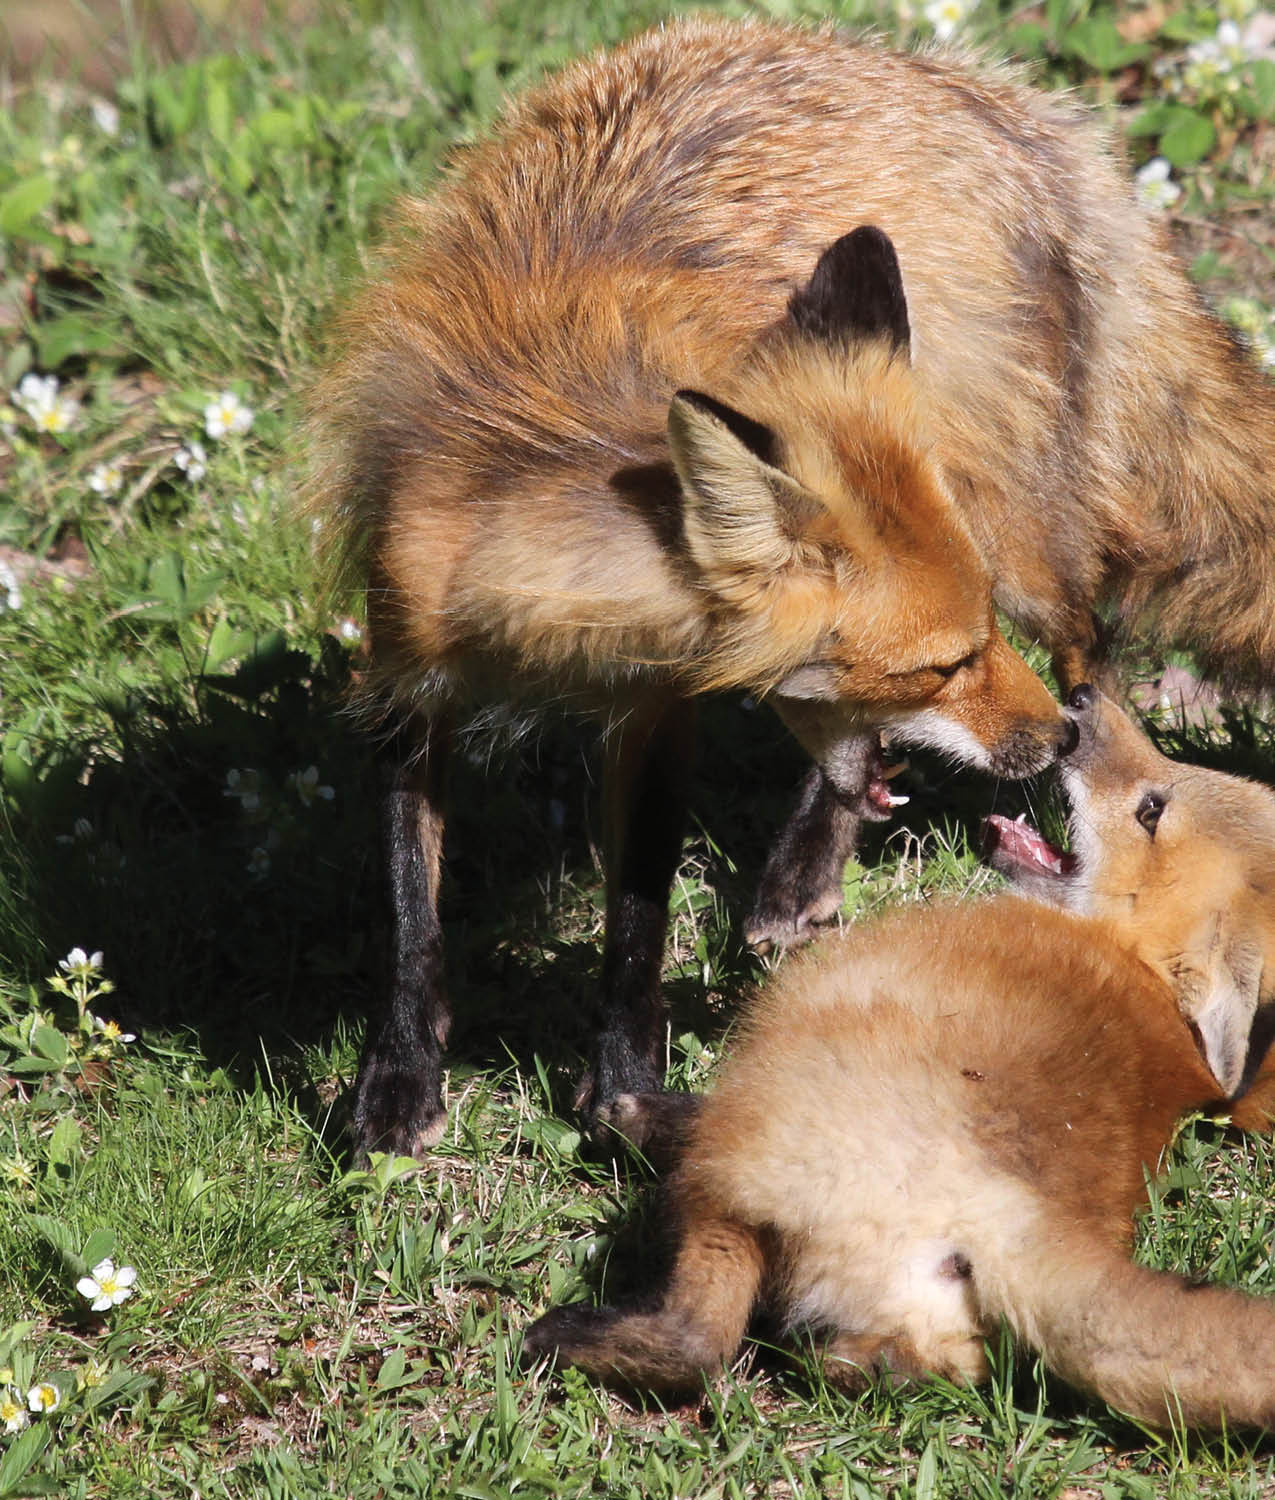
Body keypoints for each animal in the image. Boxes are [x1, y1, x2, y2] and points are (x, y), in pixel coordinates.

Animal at [306, 32, 1086, 1158]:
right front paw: (401, 1076)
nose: (1064, 739)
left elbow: (636, 924)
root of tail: (919, 63)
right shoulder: (408, 668)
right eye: (947, 664)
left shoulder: (652, 711)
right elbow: (413, 903)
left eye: (983, 639)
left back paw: (808, 869)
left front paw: (624, 1089)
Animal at [528, 690, 1275, 1428]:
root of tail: (1010, 1203)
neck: (1133, 963)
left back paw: (566, 1323)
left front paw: (629, 1107)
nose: (1082, 700)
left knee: (695, 1340)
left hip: (733, 1176)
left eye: (1152, 809)